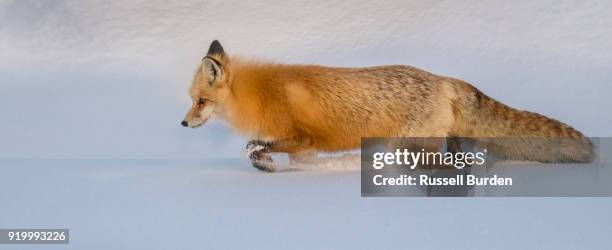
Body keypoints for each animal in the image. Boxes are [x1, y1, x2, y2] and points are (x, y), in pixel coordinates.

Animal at [180, 40, 592, 172]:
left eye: (201, 101)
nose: (183, 124)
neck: (263, 94)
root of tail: (443, 79)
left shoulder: (305, 139)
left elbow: (254, 147)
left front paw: (263, 163)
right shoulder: (303, 147)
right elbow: (260, 149)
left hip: (408, 144)